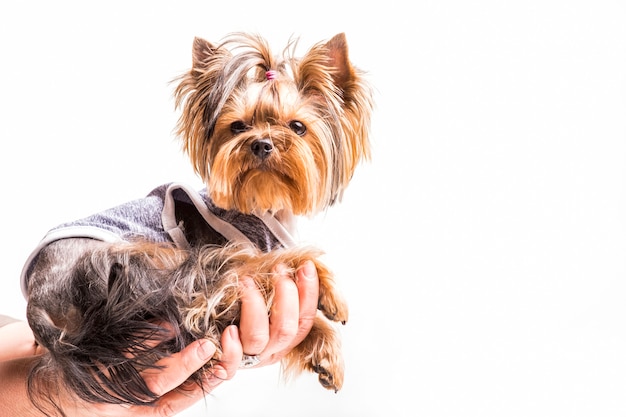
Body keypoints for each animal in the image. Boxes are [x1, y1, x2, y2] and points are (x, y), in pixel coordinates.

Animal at [23, 31, 370, 410]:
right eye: (238, 126)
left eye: (298, 127)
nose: (262, 144)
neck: (264, 202)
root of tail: (40, 297)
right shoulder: (228, 249)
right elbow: (275, 262)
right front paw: (330, 296)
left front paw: (324, 355)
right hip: (143, 260)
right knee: (212, 294)